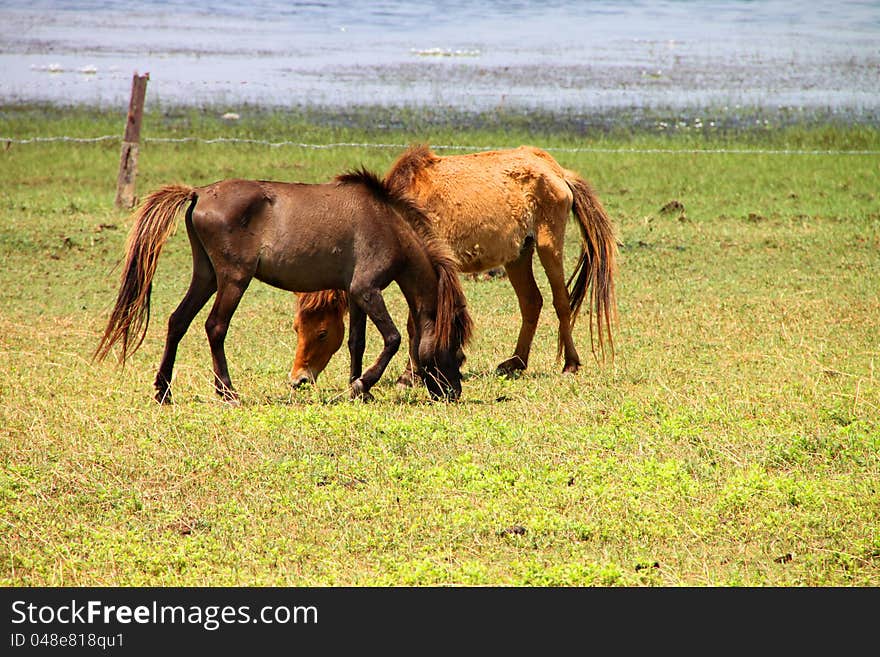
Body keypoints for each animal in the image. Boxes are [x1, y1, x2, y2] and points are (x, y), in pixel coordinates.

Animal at [96, 167, 474, 402]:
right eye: (456, 348)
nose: (452, 392)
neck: (389, 225)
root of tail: (199, 193)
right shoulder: (367, 290)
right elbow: (392, 339)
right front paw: (362, 384)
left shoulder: (355, 294)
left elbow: (357, 341)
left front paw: (359, 389)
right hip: (233, 279)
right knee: (215, 327)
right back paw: (227, 392)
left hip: (205, 276)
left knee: (178, 322)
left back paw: (163, 391)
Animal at [288, 145, 620, 384]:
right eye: (296, 328)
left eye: (322, 332)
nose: (299, 379)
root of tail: (557, 171)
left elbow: (415, 324)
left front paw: (411, 375)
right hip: (518, 255)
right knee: (531, 302)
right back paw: (515, 363)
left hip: (548, 245)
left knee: (560, 301)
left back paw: (570, 364)